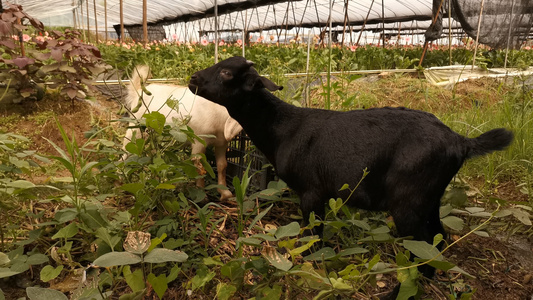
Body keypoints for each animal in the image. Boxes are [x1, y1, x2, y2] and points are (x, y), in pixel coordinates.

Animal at [122, 65, 241, 199]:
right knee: (125, 148)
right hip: (135, 128)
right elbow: (198, 164)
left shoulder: (222, 143)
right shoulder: (199, 140)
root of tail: (138, 91)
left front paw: (225, 193)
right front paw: (202, 193)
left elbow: (222, 165)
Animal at [189, 56, 512, 276]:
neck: (283, 127)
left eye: (227, 72)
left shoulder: (312, 192)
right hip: (429, 199)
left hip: (409, 203)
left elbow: (313, 235)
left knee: (422, 255)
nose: (193, 78)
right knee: (438, 242)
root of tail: (460, 141)